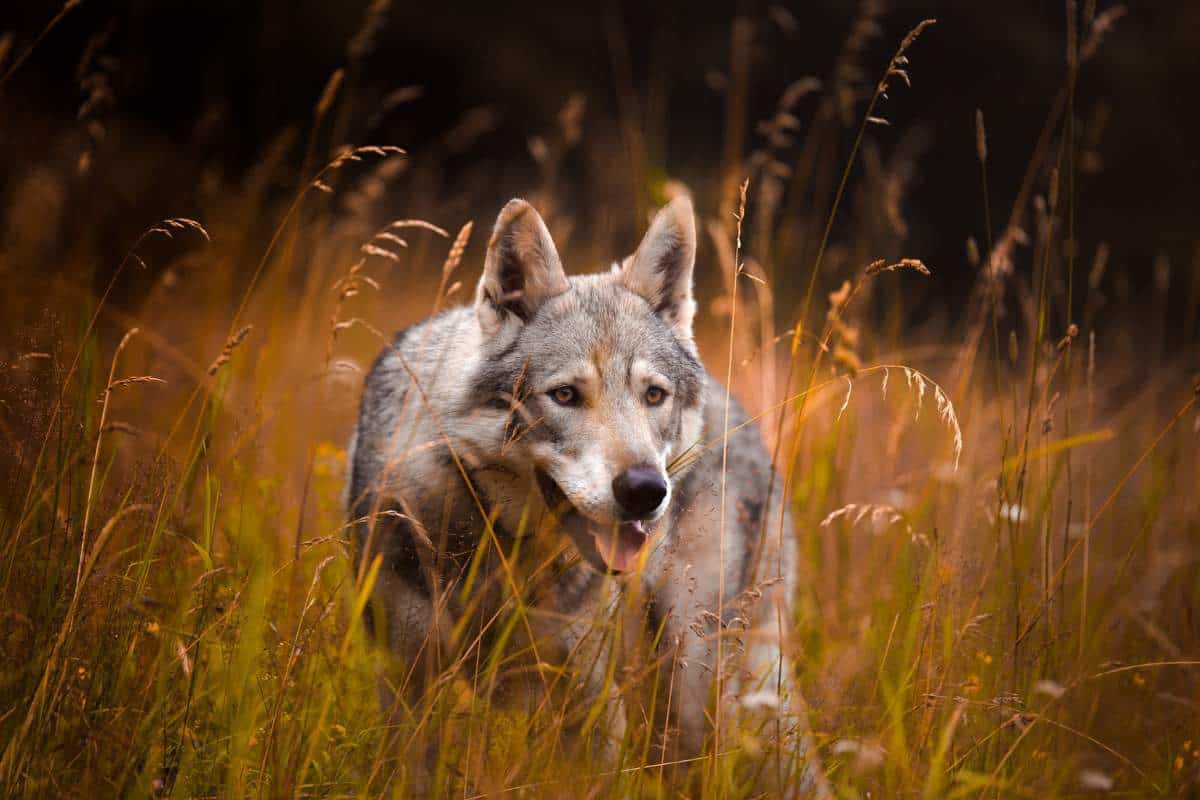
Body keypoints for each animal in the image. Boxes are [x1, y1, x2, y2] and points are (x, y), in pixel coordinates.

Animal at [343, 195, 820, 796]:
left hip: (693, 686)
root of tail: (746, 416)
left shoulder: (589, 705)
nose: (645, 491)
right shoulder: (407, 687)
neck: (503, 552)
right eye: (566, 395)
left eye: (653, 395)